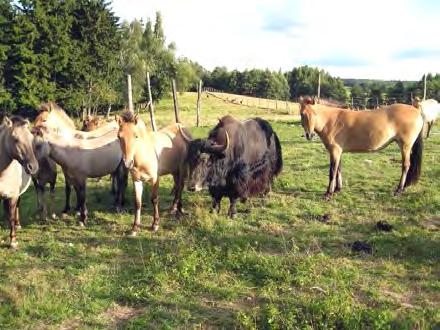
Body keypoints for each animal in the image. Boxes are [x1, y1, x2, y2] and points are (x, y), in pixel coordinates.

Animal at [0, 116, 39, 248]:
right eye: (15, 139)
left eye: (31, 139)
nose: (33, 167)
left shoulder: (13, 195)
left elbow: (11, 216)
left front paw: (13, 241)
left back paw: (17, 225)